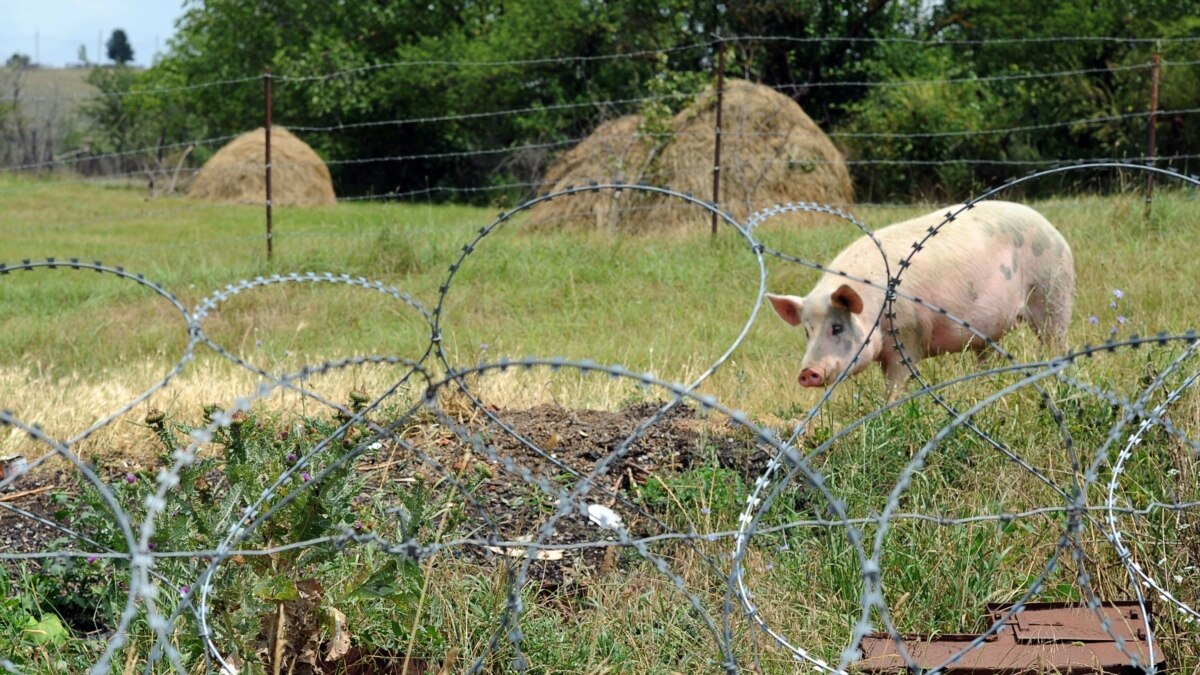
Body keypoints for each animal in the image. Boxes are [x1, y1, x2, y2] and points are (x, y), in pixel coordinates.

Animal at [768, 198, 1080, 389]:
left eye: (836, 327)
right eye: (807, 331)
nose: (807, 372)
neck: (874, 308)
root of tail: (1055, 231)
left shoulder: (908, 336)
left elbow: (896, 383)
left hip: (1051, 293)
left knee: (1056, 341)